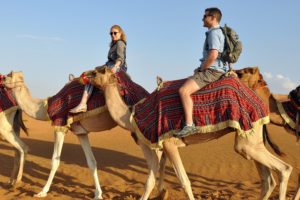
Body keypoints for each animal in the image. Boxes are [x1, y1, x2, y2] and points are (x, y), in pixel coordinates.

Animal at [90, 67, 294, 200]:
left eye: (98, 71)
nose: (85, 75)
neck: (132, 117)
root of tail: (261, 101)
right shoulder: (151, 145)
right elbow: (150, 181)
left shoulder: (168, 143)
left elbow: (184, 181)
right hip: (251, 138)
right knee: (267, 179)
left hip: (247, 138)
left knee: (284, 169)